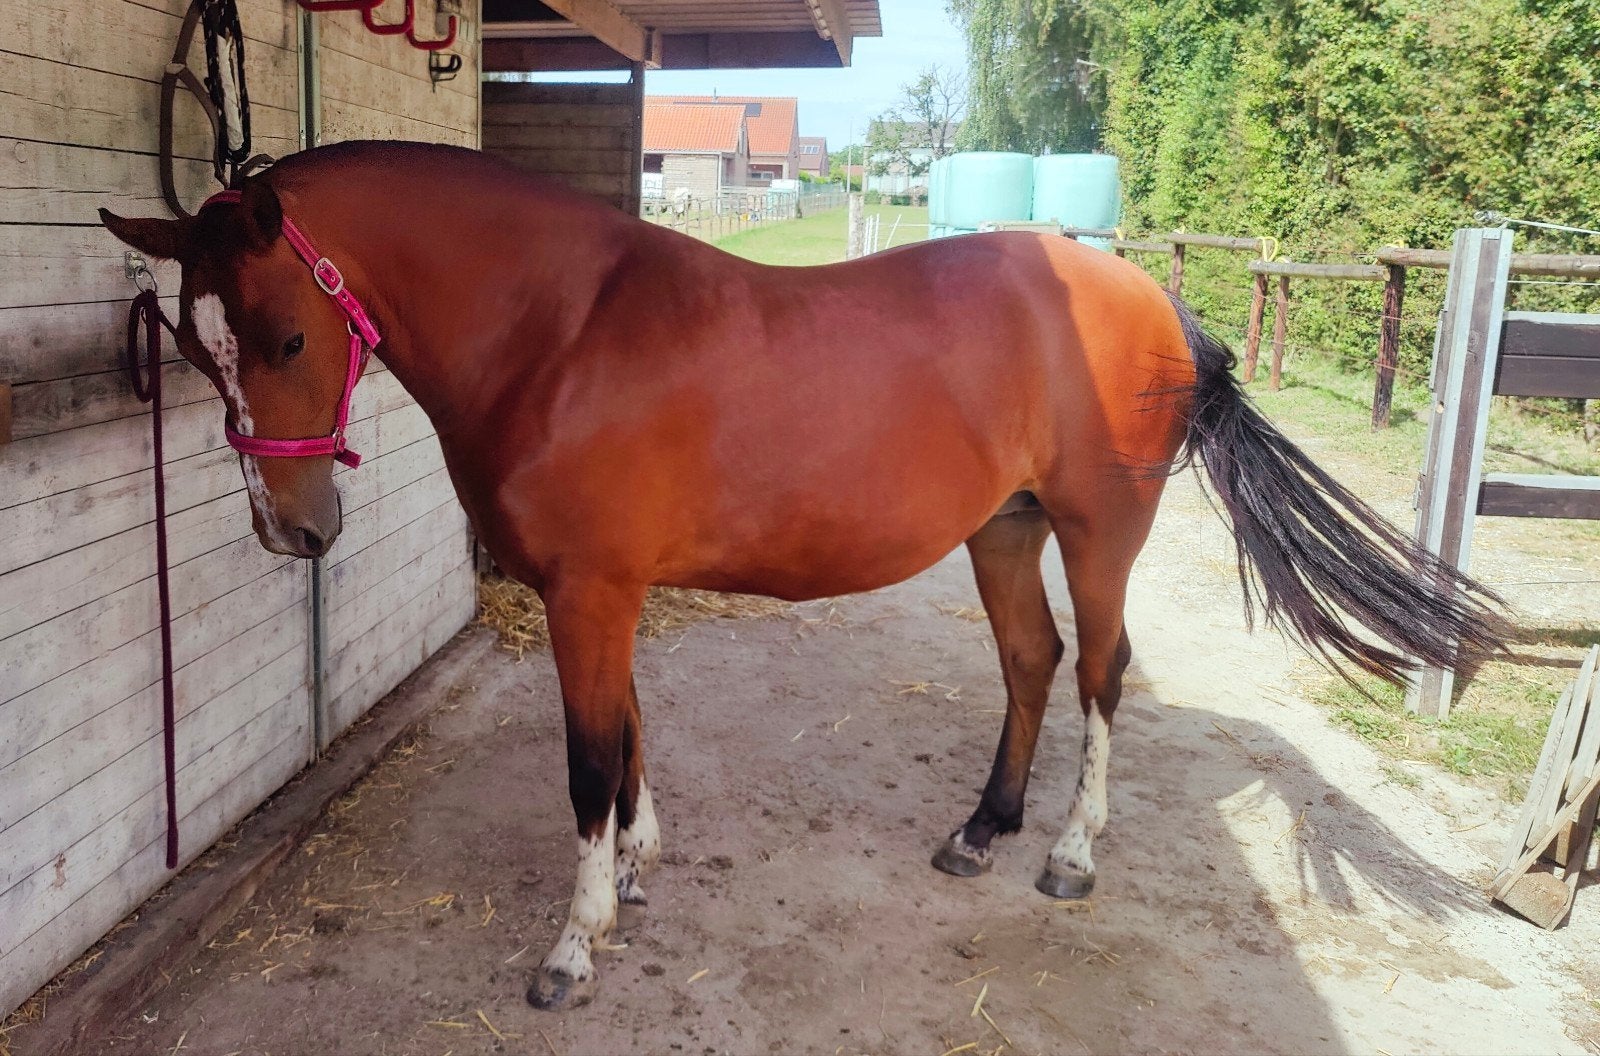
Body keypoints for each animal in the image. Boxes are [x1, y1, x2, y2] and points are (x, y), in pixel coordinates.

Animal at [101, 140, 1507, 1011]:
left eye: (286, 336)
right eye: (193, 345)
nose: (291, 531)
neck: (560, 330)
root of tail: (1147, 298)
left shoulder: (590, 592)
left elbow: (588, 762)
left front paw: (575, 944)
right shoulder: (602, 595)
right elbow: (629, 737)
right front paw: (639, 867)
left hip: (1100, 533)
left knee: (1102, 675)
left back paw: (1068, 855)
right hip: (1004, 530)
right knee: (1032, 661)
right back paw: (981, 830)